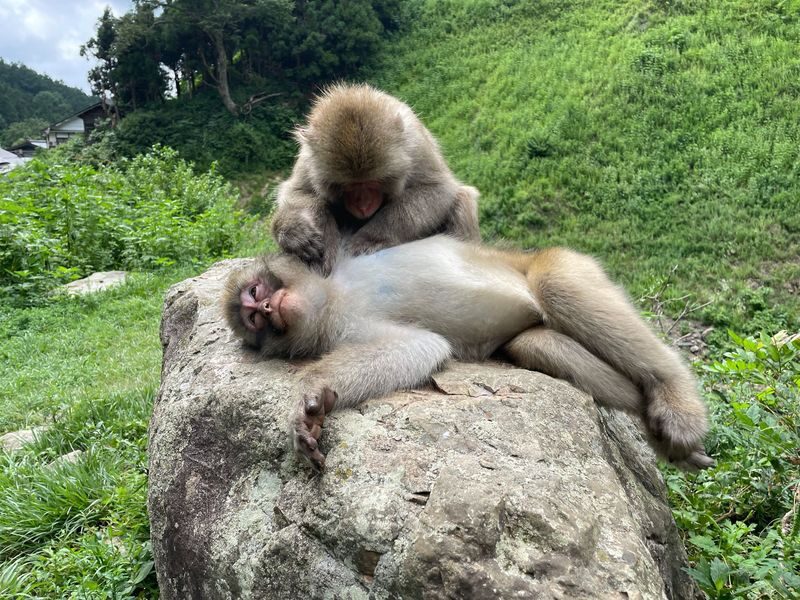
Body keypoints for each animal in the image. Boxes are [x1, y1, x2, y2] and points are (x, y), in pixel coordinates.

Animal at [223, 236, 713, 472]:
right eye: (253, 320)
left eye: (256, 293)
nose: (267, 309)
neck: (332, 297)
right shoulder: (343, 326)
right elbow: (420, 346)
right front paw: (314, 405)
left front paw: (307, 394)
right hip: (535, 327)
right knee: (534, 343)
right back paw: (661, 434)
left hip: (565, 262)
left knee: (556, 285)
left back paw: (675, 397)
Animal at [272, 83, 481, 274]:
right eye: (348, 186)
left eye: (373, 182)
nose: (363, 205)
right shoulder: (308, 158)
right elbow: (297, 192)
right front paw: (299, 232)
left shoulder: (415, 144)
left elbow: (437, 189)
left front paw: (371, 238)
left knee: (462, 198)